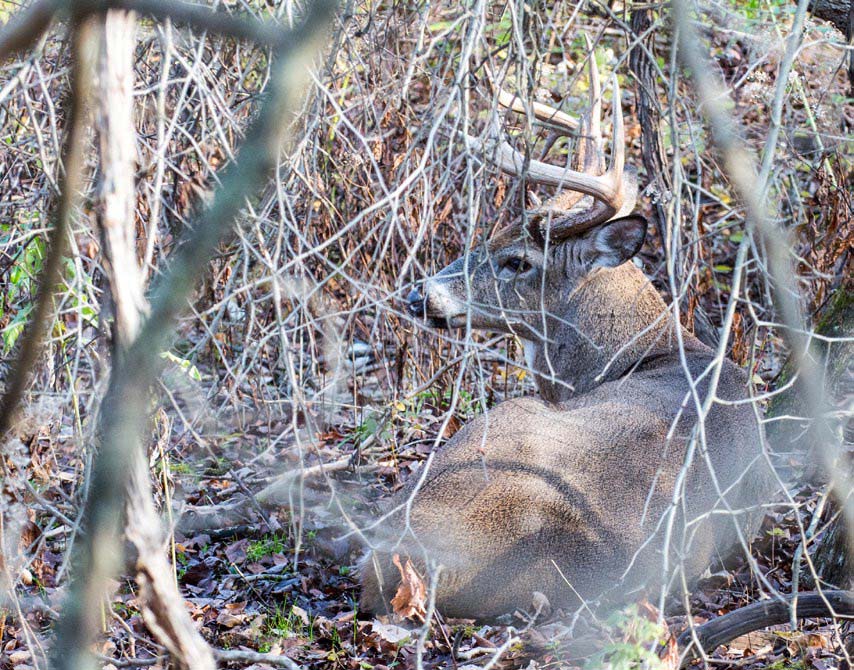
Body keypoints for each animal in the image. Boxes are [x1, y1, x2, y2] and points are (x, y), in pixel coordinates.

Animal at [362, 55, 776, 624]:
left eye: (518, 261)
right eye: (489, 235)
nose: (418, 295)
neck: (654, 352)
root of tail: (405, 568)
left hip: (501, 419)